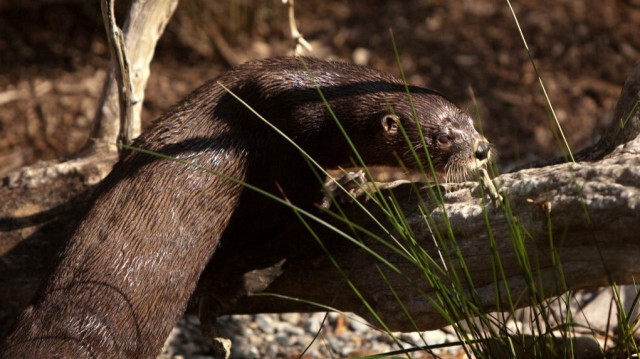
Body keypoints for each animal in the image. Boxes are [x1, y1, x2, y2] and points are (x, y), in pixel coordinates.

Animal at [2, 57, 490, 358]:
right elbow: (304, 203)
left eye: (469, 120)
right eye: (442, 137)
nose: (482, 149)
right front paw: (345, 193)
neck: (309, 95)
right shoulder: (287, 139)